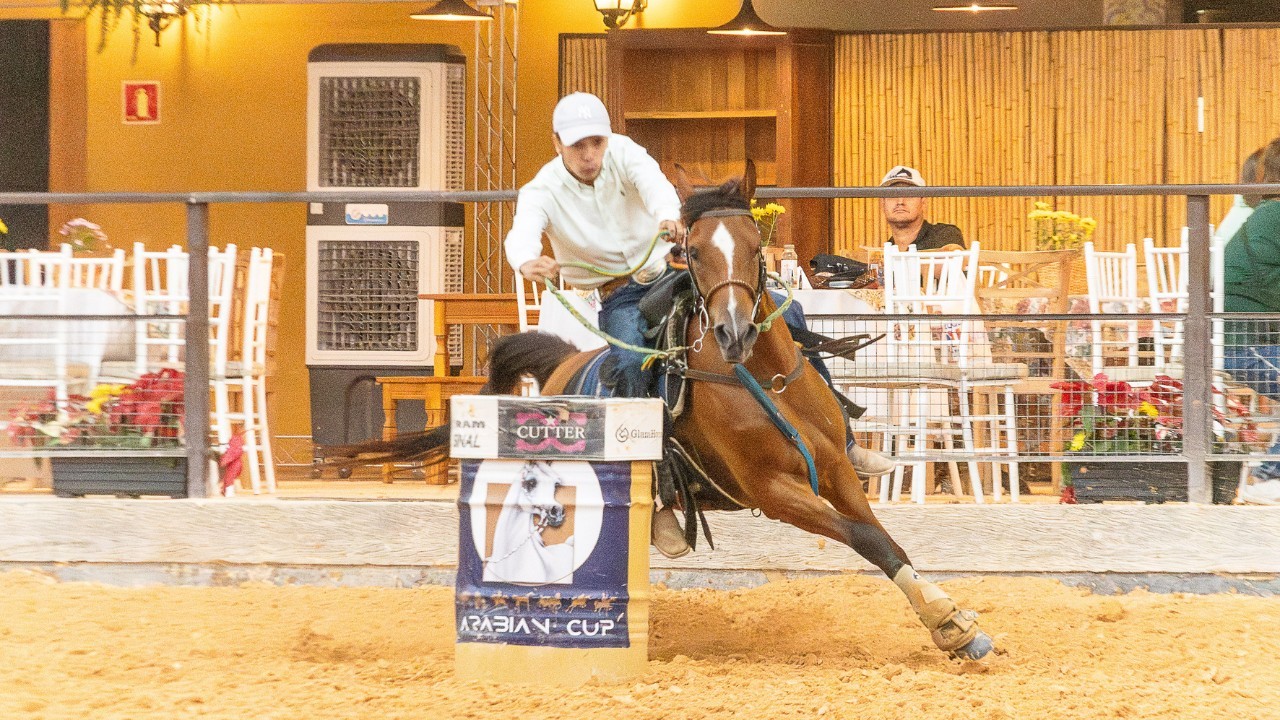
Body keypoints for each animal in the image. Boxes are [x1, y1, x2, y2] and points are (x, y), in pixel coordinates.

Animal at [333, 162, 994, 660]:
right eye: (693, 252)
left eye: (754, 247)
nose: (733, 330)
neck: (762, 378)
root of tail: (566, 364)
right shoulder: (772, 490)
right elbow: (865, 539)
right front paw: (952, 622)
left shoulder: (832, 470)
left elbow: (883, 540)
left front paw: (951, 624)